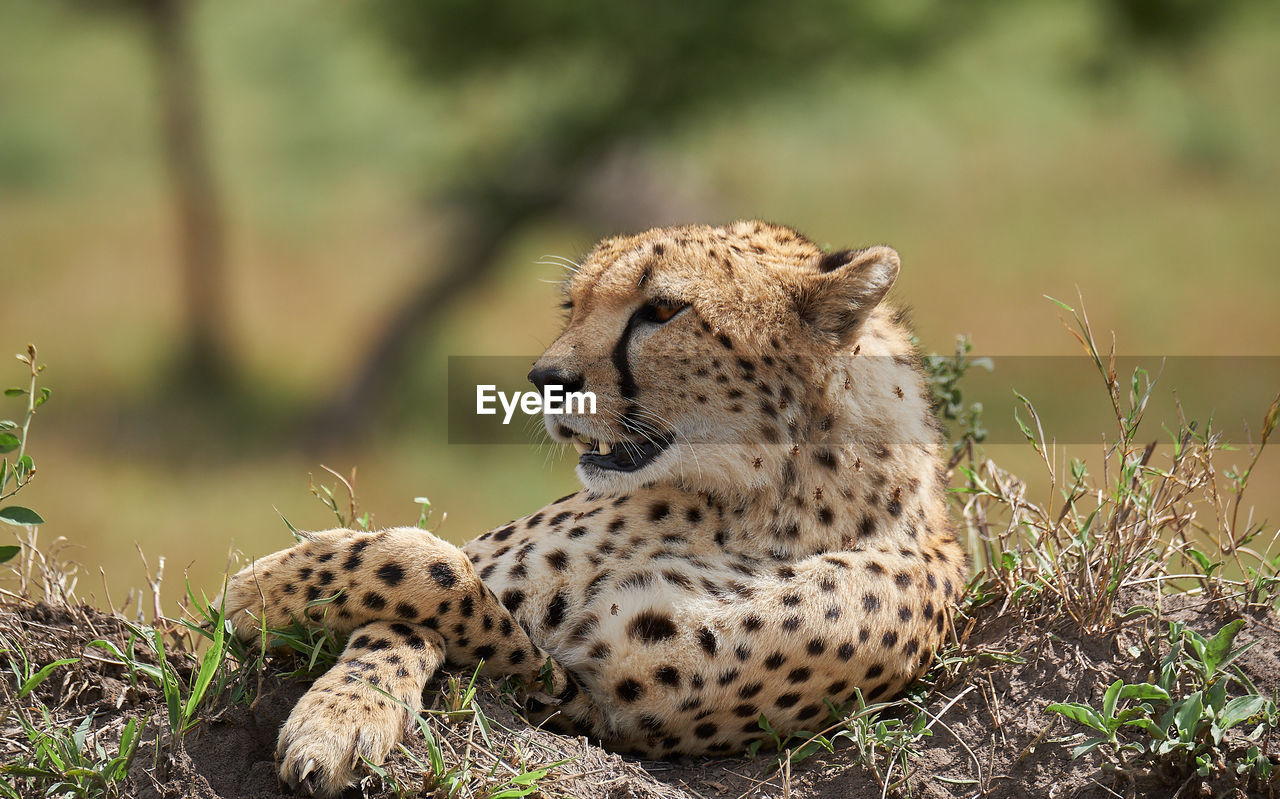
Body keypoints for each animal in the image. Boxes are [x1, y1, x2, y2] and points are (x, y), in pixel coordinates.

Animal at [220, 221, 962, 793]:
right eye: (572, 305)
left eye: (661, 311)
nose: (546, 380)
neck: (766, 495)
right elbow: (419, 592)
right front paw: (338, 712)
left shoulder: (584, 700)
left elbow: (439, 571)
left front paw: (260, 588)